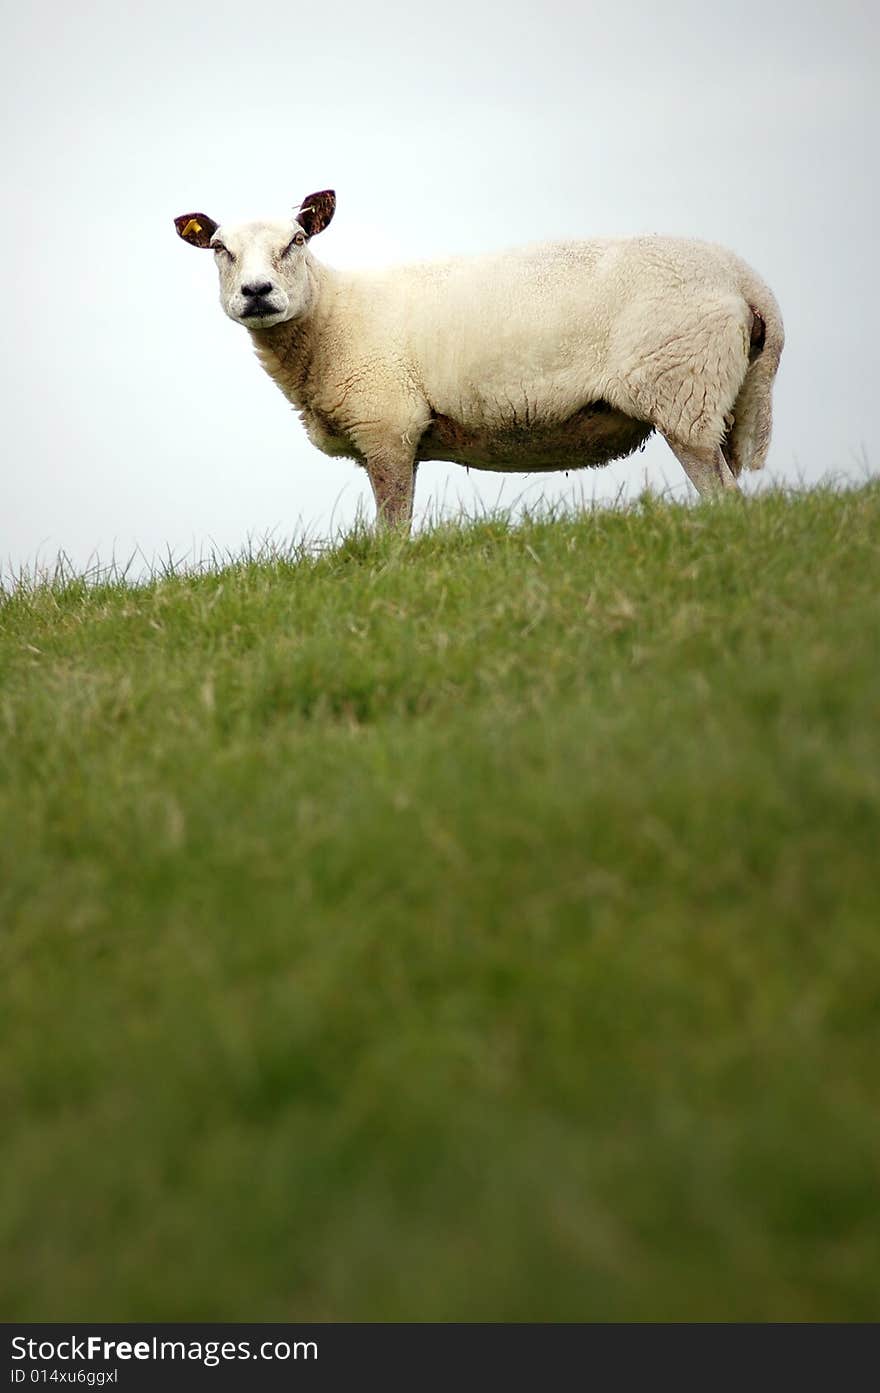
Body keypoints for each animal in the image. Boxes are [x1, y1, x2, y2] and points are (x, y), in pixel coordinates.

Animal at [173, 190, 785, 526]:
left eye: (297, 240)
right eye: (220, 249)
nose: (256, 292)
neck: (333, 317)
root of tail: (747, 281)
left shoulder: (387, 428)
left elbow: (392, 531)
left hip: (683, 388)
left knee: (722, 493)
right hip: (726, 396)